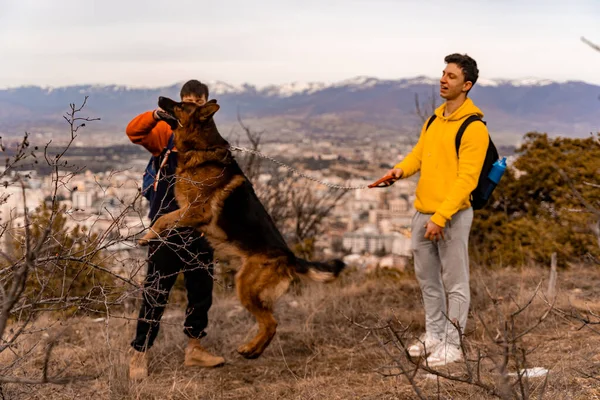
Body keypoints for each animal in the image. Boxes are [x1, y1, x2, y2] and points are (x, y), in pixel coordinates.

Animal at [136, 97, 342, 360]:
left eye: (181, 105)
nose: (160, 98)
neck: (201, 148)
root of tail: (289, 256)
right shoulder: (188, 212)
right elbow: (166, 219)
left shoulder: (196, 211)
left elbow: (162, 219)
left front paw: (147, 236)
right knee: (270, 322)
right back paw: (255, 349)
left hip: (245, 286)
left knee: (271, 322)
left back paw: (250, 349)